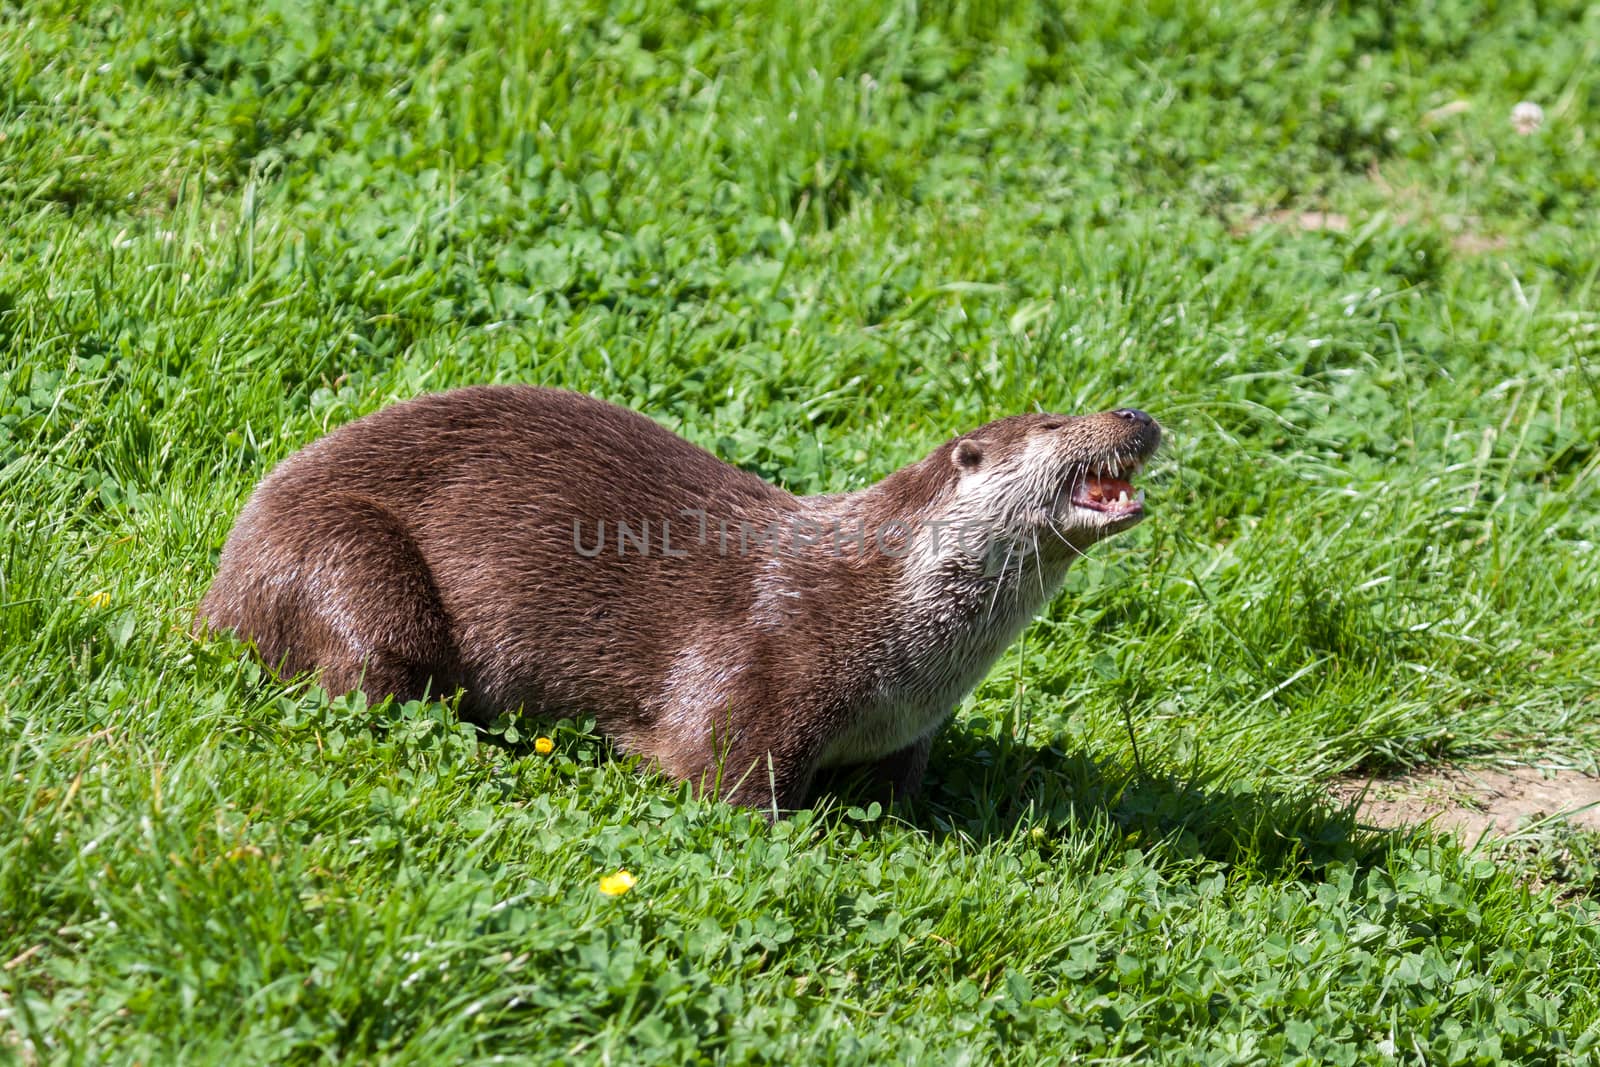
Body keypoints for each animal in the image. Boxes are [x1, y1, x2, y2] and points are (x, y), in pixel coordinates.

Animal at [196, 388, 1164, 812]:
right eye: (1054, 421)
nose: (1134, 414)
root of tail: (220, 587)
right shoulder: (762, 666)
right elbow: (720, 778)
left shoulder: (908, 734)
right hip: (346, 555)